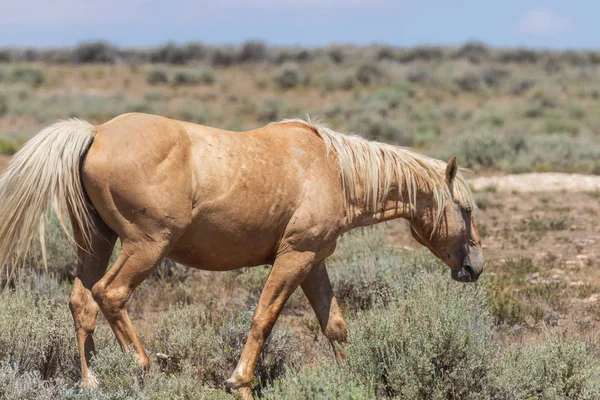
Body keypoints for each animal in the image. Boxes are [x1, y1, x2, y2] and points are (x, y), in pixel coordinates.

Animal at [0, 112, 482, 396]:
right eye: (466, 209)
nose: (475, 267)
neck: (332, 168)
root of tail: (96, 133)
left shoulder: (313, 261)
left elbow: (335, 326)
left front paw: (352, 378)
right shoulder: (294, 258)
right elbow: (263, 319)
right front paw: (240, 382)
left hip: (97, 242)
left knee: (82, 302)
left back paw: (92, 381)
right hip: (146, 247)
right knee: (110, 294)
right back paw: (143, 367)